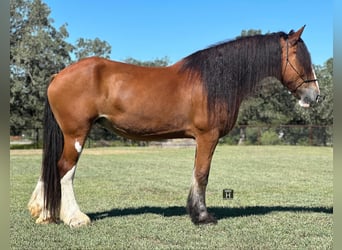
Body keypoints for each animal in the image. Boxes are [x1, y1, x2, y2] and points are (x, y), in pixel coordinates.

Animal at [28, 26, 320, 228]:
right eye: (300, 57)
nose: (314, 95)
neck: (213, 81)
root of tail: (58, 75)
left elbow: (197, 173)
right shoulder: (207, 137)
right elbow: (202, 174)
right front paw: (202, 216)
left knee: (51, 169)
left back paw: (44, 213)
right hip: (76, 133)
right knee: (64, 169)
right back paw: (75, 218)